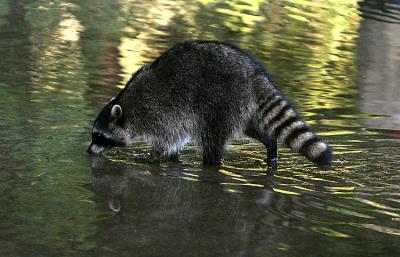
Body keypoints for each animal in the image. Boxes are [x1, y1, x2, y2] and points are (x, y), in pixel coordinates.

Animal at [89, 40, 332, 166]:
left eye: (99, 136)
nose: (89, 151)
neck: (129, 108)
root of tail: (255, 76)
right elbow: (177, 141)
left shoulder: (160, 114)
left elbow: (166, 140)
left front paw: (152, 158)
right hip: (243, 109)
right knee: (256, 129)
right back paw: (271, 147)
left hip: (221, 104)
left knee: (211, 141)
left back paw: (212, 162)